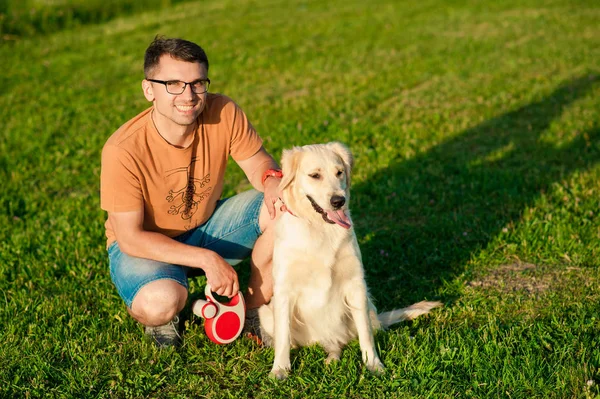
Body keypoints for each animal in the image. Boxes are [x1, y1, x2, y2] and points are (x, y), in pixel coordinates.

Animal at [258, 142, 440, 380]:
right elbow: (283, 338)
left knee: (360, 333)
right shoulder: (284, 291)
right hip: (265, 314)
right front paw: (279, 369)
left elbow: (366, 334)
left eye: (339, 172)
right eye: (315, 175)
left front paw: (374, 364)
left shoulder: (356, 285)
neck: (320, 228)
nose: (338, 201)